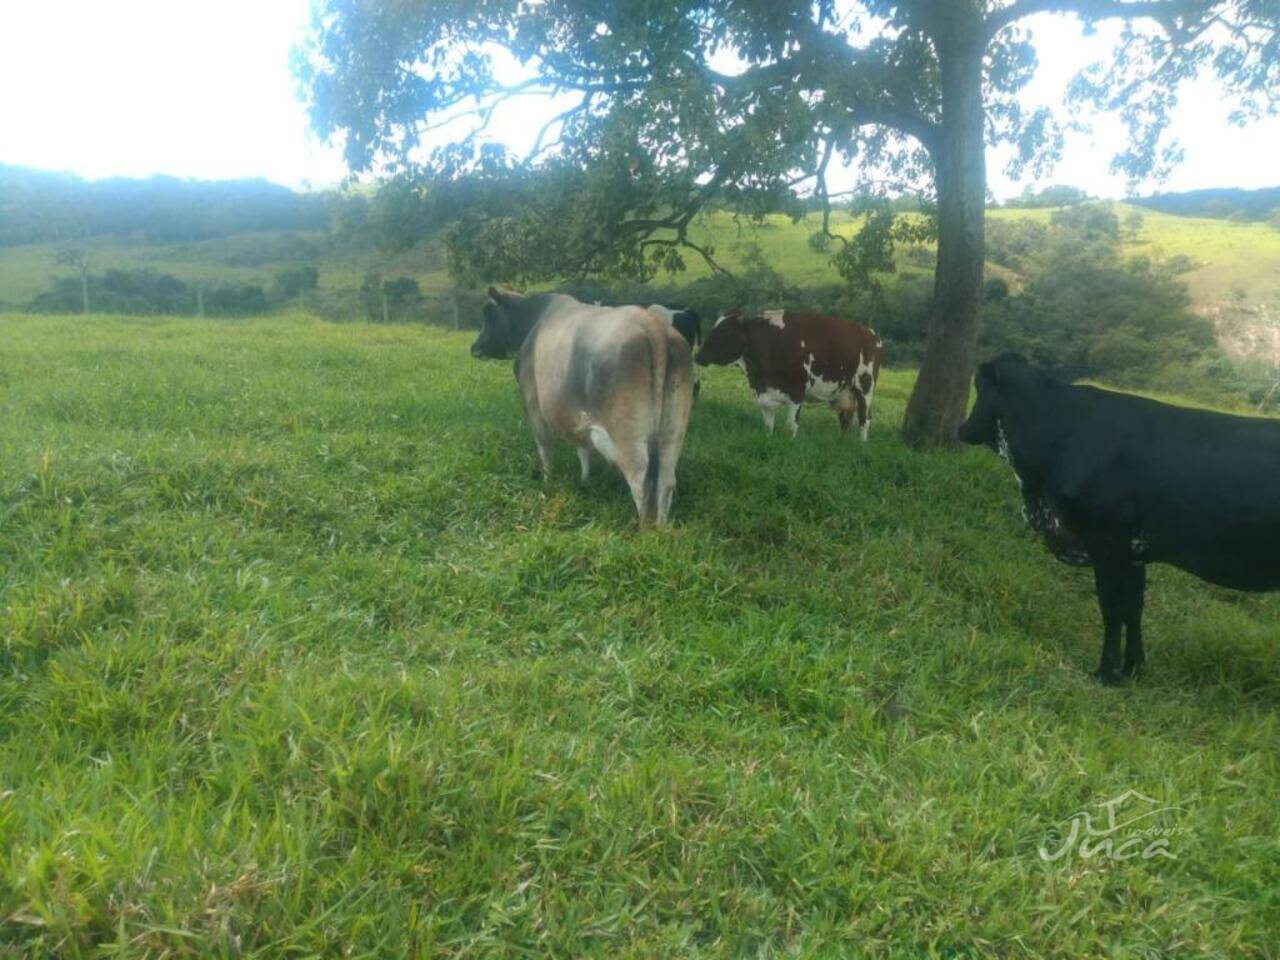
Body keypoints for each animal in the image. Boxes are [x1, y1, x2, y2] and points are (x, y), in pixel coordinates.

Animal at [468, 288, 691, 527]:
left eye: (489, 313)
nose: (474, 347)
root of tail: (653, 325)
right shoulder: (576, 415)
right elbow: (582, 448)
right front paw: (585, 480)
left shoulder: (533, 405)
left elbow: (545, 448)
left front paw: (547, 481)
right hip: (673, 431)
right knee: (666, 480)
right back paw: (661, 527)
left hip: (627, 435)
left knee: (641, 481)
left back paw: (644, 529)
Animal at [696, 312, 885, 440]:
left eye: (724, 331)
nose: (698, 356)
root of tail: (870, 333)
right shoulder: (765, 395)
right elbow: (768, 425)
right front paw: (769, 439)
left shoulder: (797, 393)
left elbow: (791, 426)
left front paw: (791, 443)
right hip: (844, 393)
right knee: (846, 419)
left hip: (865, 387)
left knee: (864, 418)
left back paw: (861, 445)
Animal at [962, 358, 1280, 686]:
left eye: (978, 385)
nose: (962, 429)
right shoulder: (1133, 552)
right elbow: (1133, 606)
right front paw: (1133, 668)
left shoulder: (1106, 540)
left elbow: (1112, 606)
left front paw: (1105, 672)